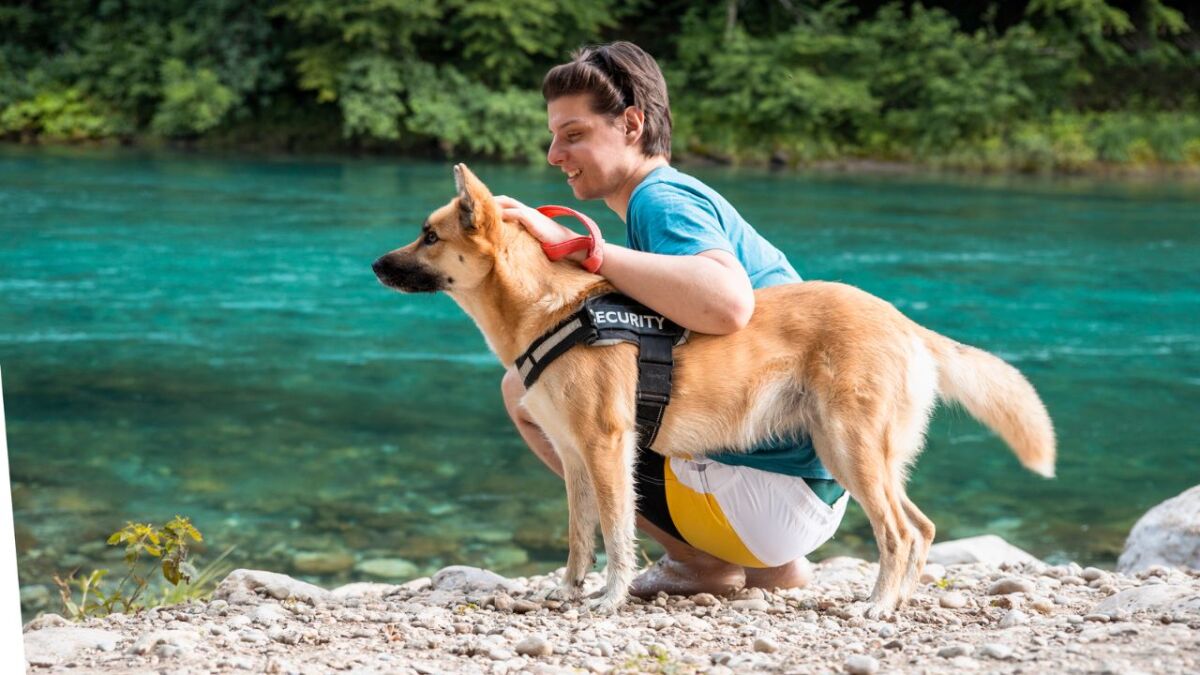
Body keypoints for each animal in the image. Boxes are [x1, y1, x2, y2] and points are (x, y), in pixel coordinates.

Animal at [369, 164, 1056, 614]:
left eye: (430, 236)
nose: (374, 265)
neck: (547, 309)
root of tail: (906, 323)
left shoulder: (606, 450)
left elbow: (616, 536)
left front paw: (609, 601)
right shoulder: (574, 460)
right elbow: (578, 539)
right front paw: (566, 593)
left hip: (850, 449)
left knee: (900, 532)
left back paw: (879, 606)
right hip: (869, 458)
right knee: (924, 527)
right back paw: (899, 600)